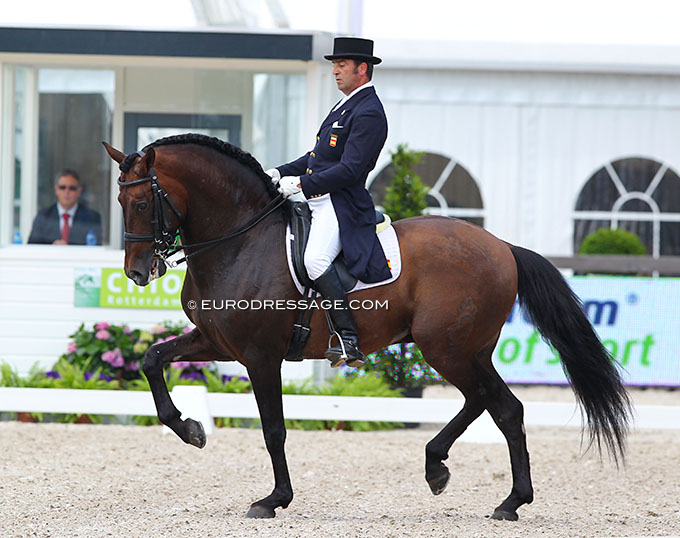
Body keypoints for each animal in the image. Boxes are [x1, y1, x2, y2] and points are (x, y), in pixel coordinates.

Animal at [102, 133, 632, 520]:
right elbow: (152, 358)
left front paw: (273, 500)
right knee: (496, 404)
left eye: (143, 204)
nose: (137, 272)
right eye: (121, 203)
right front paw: (191, 429)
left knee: (497, 404)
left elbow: (273, 429)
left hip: (446, 348)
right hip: (466, 350)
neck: (240, 240)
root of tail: (502, 246)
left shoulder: (260, 356)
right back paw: (459, 478)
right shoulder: (216, 341)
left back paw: (501, 497)